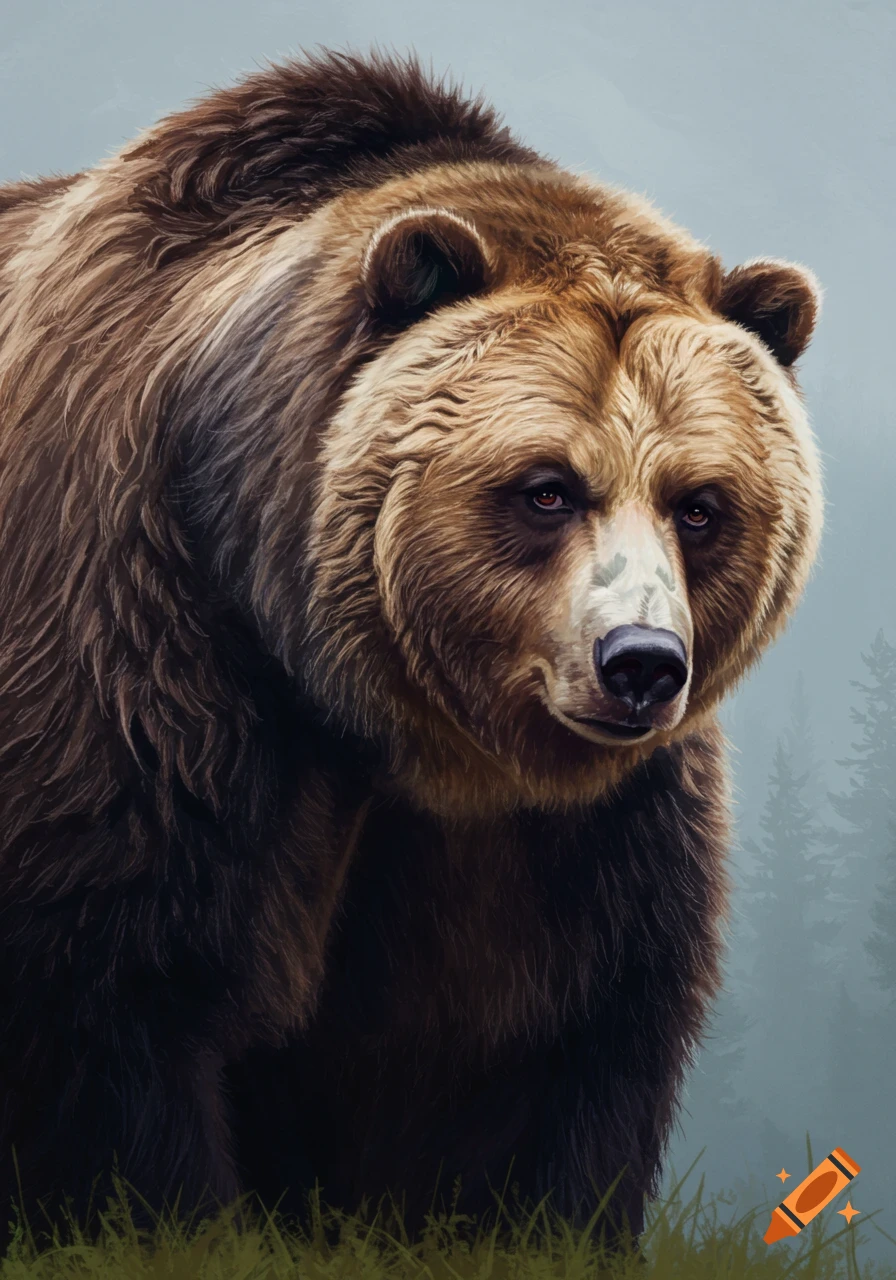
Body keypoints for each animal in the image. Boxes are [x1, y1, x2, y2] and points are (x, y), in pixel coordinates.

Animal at [0, 49, 822, 1249]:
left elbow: (529, 1047)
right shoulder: (144, 653)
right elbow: (114, 979)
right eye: (546, 487)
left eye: (701, 503)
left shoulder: (556, 835)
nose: (638, 664)